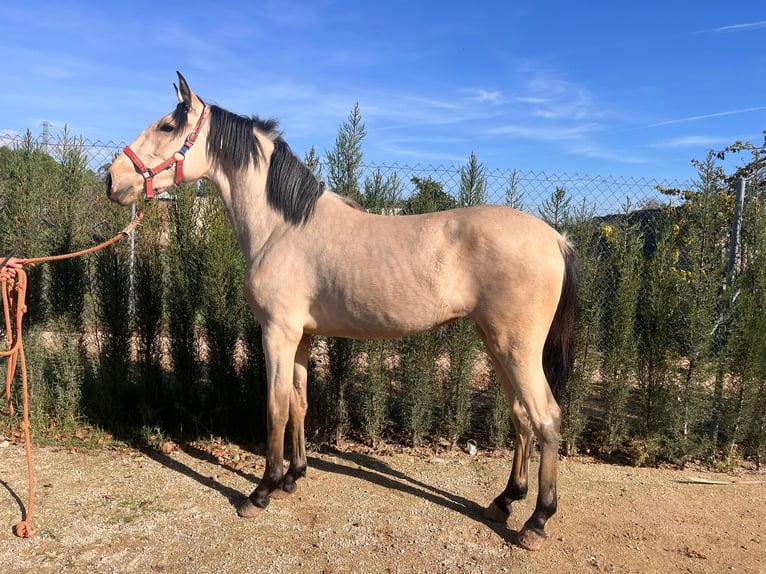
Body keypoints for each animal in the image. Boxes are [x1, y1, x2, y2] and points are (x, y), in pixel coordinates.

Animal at [105, 72, 580, 552]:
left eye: (167, 125)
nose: (111, 179)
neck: (282, 228)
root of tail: (556, 238)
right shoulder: (301, 336)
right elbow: (299, 401)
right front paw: (293, 477)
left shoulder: (277, 333)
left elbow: (275, 406)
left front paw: (262, 491)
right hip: (496, 344)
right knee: (521, 415)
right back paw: (504, 501)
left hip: (515, 348)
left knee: (546, 417)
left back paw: (537, 521)